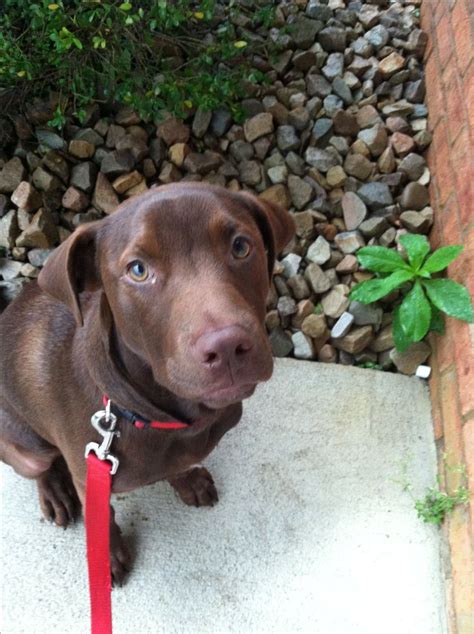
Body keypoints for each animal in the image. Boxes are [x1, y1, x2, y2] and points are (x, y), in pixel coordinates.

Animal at [0, 180, 294, 580]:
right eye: (138, 270)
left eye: (240, 246)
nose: (227, 346)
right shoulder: (89, 477)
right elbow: (103, 516)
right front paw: (106, 556)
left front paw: (188, 479)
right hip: (27, 449)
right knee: (40, 467)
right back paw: (54, 492)